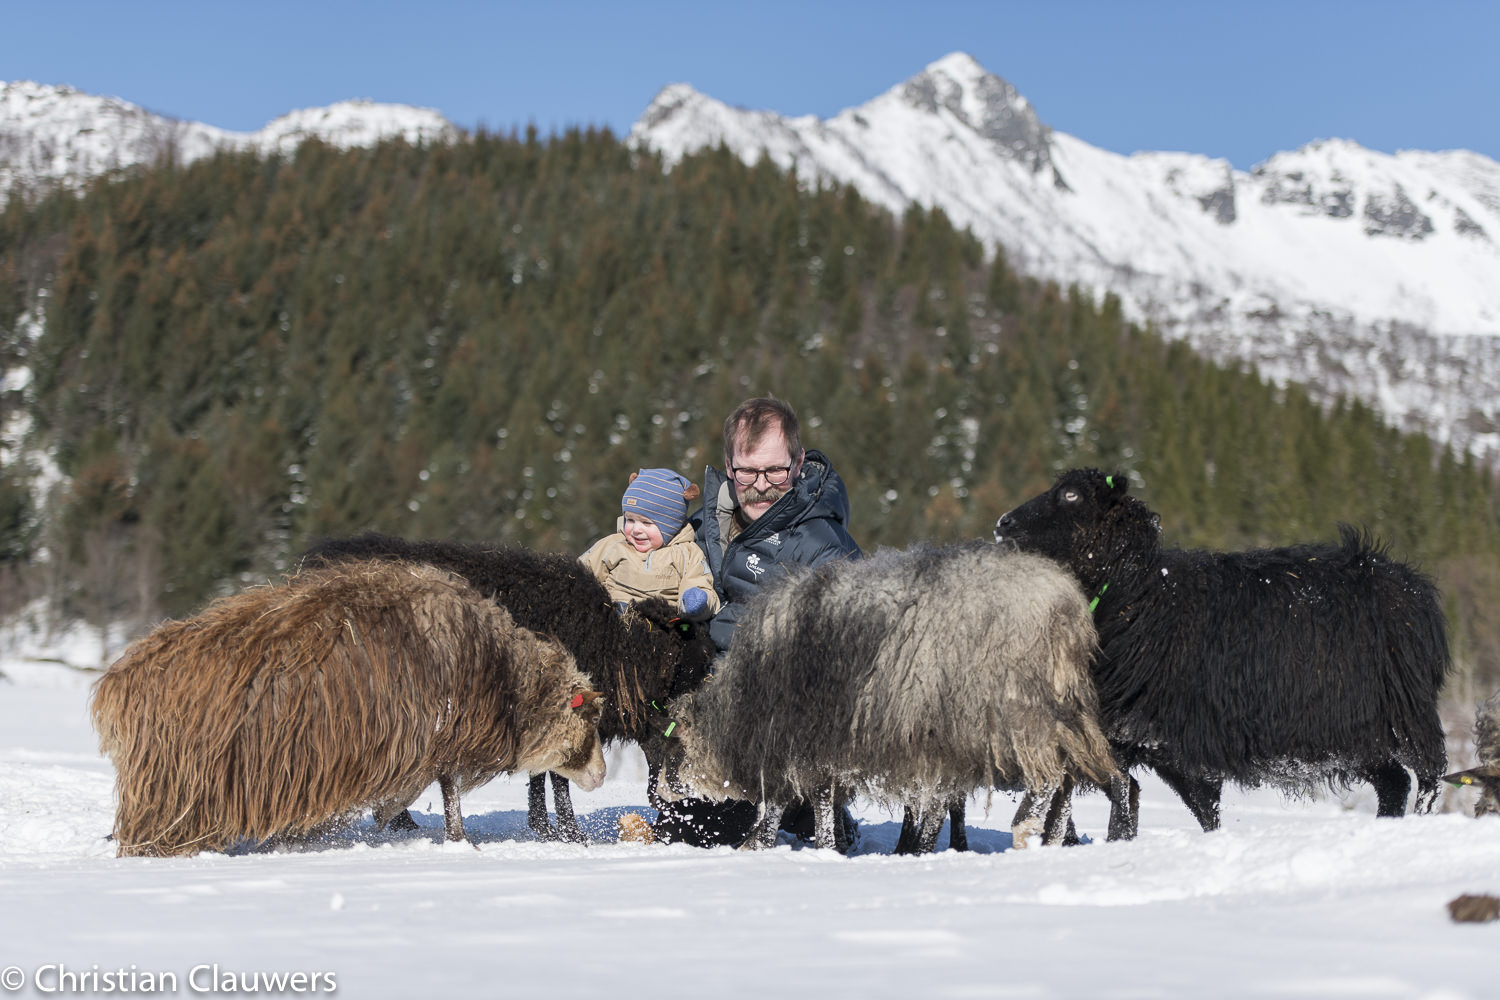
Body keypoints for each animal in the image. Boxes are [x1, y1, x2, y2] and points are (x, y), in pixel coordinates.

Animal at [91, 559, 605, 857]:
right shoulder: (438, 738)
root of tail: (115, 682)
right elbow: (444, 793)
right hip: (174, 785)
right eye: (590, 718)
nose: (601, 775)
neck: (506, 675)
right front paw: (451, 840)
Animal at [300, 533, 718, 843]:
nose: (672, 797)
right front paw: (568, 832)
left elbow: (543, 770)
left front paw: (544, 826)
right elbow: (557, 774)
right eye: (697, 660)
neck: (614, 648)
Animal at [663, 542, 1123, 853]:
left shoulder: (800, 739)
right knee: (1070, 778)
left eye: (676, 742)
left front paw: (793, 844)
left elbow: (802, 800)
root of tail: (1063, 605)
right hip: (1051, 711)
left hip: (1013, 712)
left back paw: (1023, 831)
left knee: (1048, 778)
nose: (667, 792)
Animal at [994, 468, 1451, 834]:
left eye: (1071, 495)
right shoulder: (1144, 741)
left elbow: (1176, 803)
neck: (1139, 595)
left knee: (1431, 775)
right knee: (1394, 782)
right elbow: (1161, 804)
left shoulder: (1180, 737)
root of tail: (1412, 584)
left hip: (1408, 712)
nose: (1002, 523)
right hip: (1355, 731)